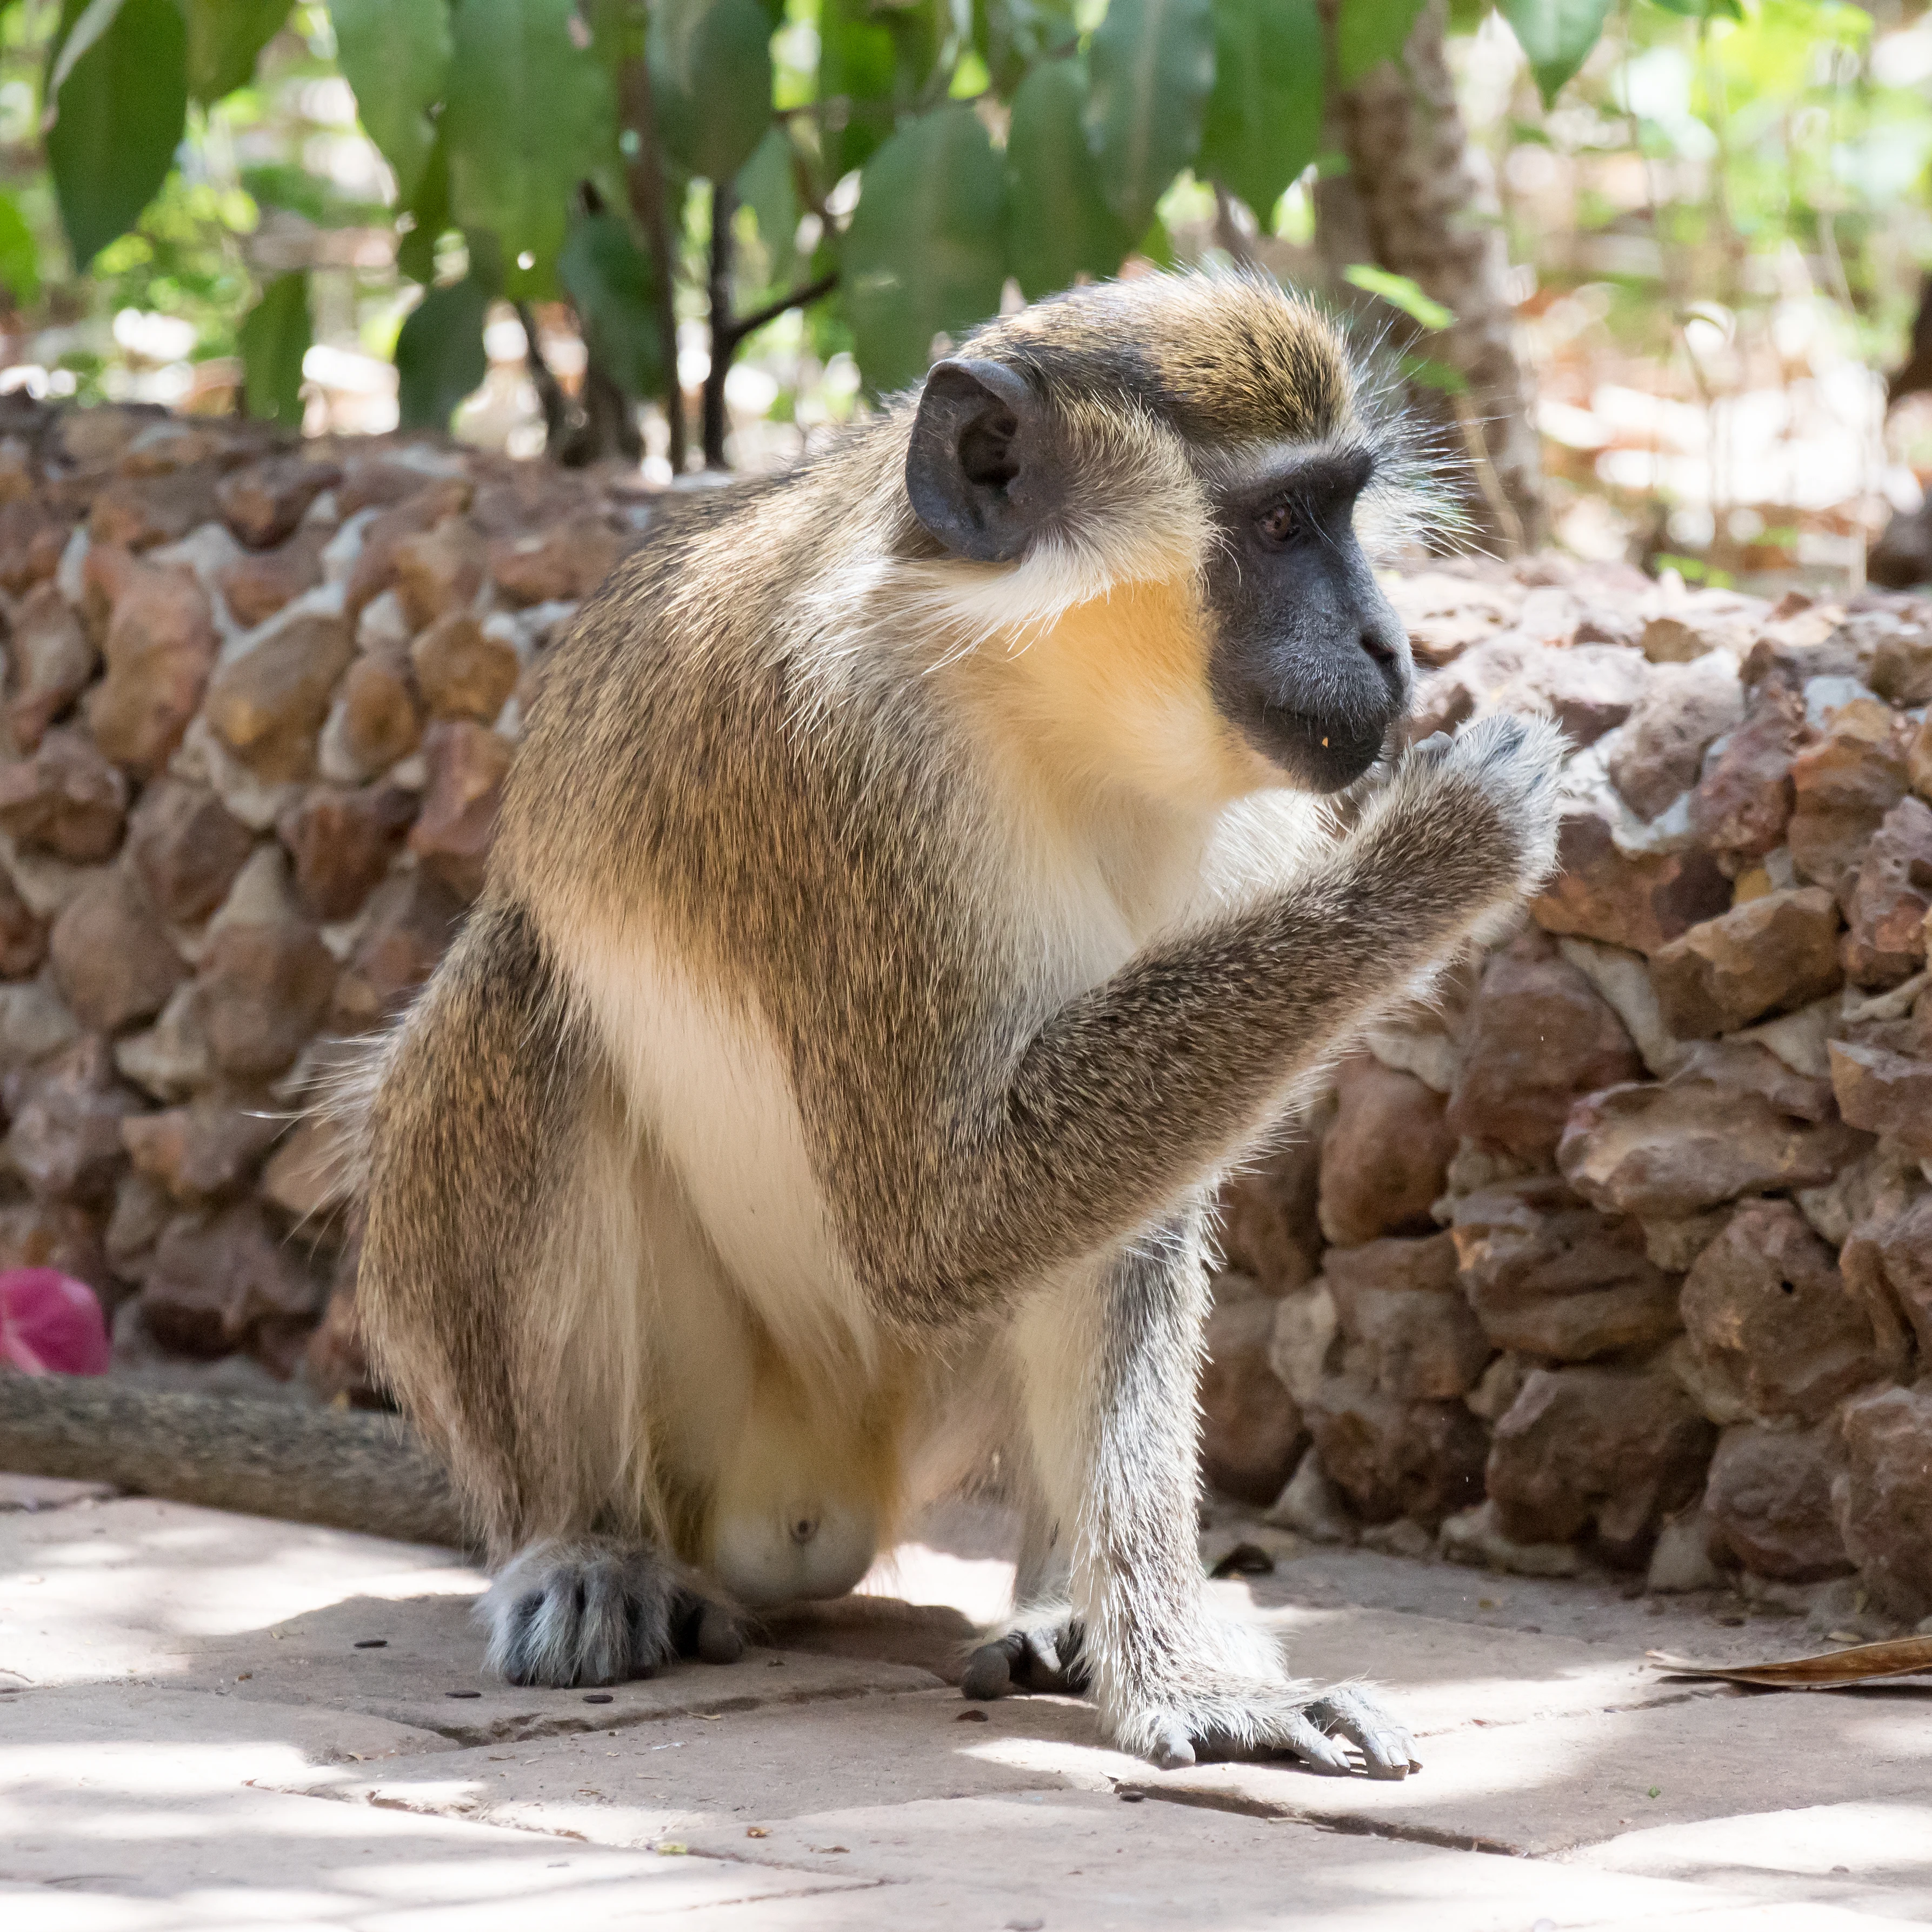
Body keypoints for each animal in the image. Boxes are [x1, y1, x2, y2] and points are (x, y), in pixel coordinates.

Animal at [352, 270, 1564, 1775]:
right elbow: (937, 1218)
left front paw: (1178, 1671)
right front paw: (1440, 849)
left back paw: (1063, 1607)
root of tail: (810, 1504)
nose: (1387, 645)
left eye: (1344, 506)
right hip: (704, 1420)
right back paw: (576, 1543)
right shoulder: (852, 768)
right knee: (521, 998)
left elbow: (1102, 1226)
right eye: (1282, 526)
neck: (1034, 689)